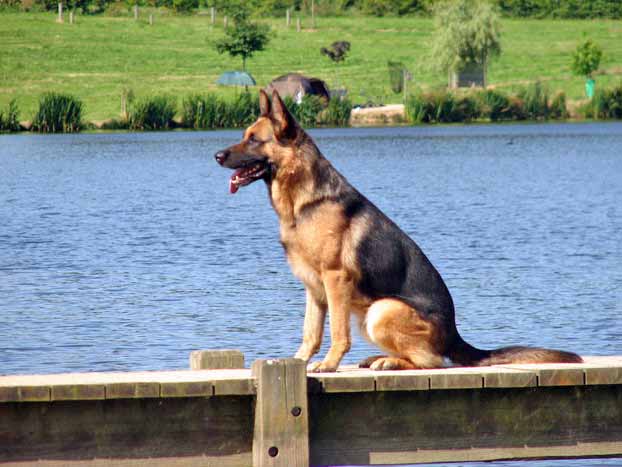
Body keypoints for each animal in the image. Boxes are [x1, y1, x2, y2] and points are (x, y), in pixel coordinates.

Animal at [214, 90, 582, 372]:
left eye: (254, 139)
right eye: (244, 135)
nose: (217, 155)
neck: (305, 200)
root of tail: (454, 334)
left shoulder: (335, 281)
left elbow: (337, 334)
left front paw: (329, 365)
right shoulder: (314, 288)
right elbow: (310, 333)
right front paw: (298, 362)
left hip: (380, 311)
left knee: (433, 361)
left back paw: (390, 362)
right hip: (367, 313)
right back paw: (379, 359)